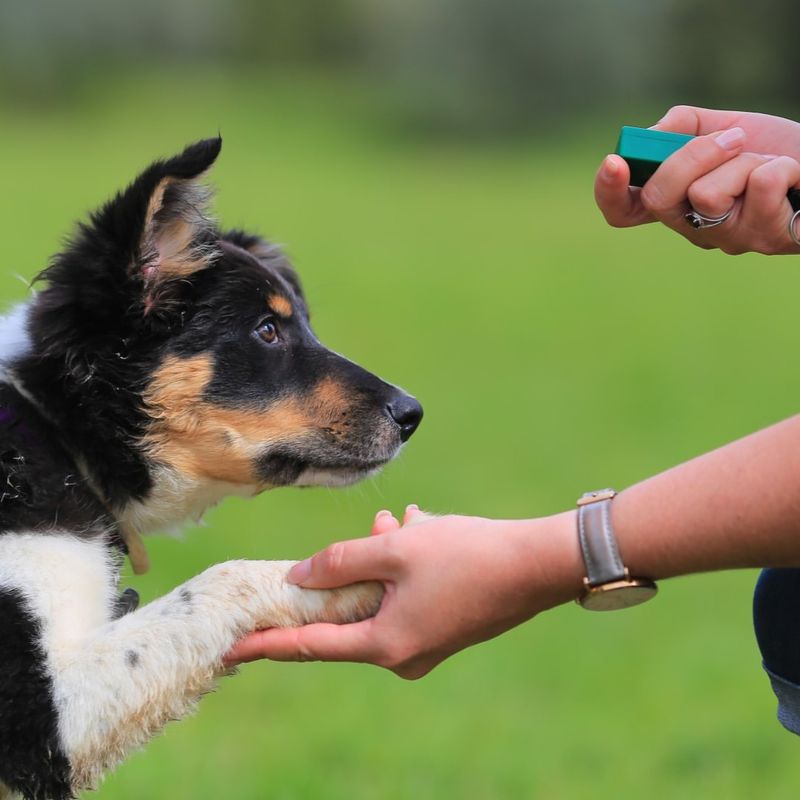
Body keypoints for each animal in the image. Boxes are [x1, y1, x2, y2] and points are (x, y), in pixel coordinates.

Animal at [0, 139, 422, 800]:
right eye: (267, 330)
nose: (413, 414)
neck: (53, 430)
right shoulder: (42, 720)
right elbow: (224, 579)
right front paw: (357, 575)